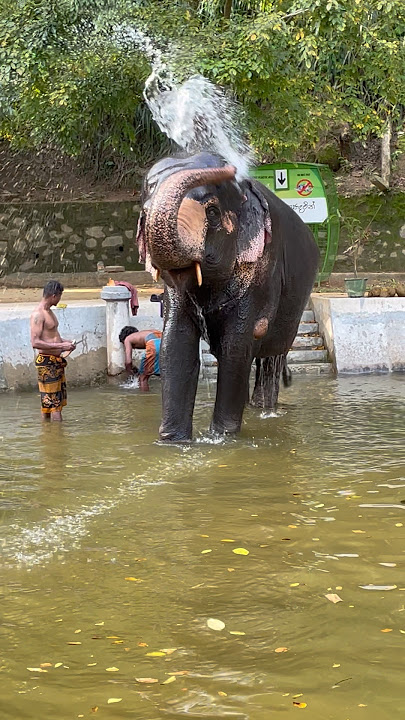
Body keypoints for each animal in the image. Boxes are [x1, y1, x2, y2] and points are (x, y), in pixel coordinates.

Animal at [136, 152, 319, 442]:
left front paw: (222, 438)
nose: (230, 167)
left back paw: (265, 410)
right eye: (144, 214)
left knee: (272, 356)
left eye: (212, 212)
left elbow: (238, 343)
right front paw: (173, 442)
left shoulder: (262, 268)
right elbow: (175, 342)